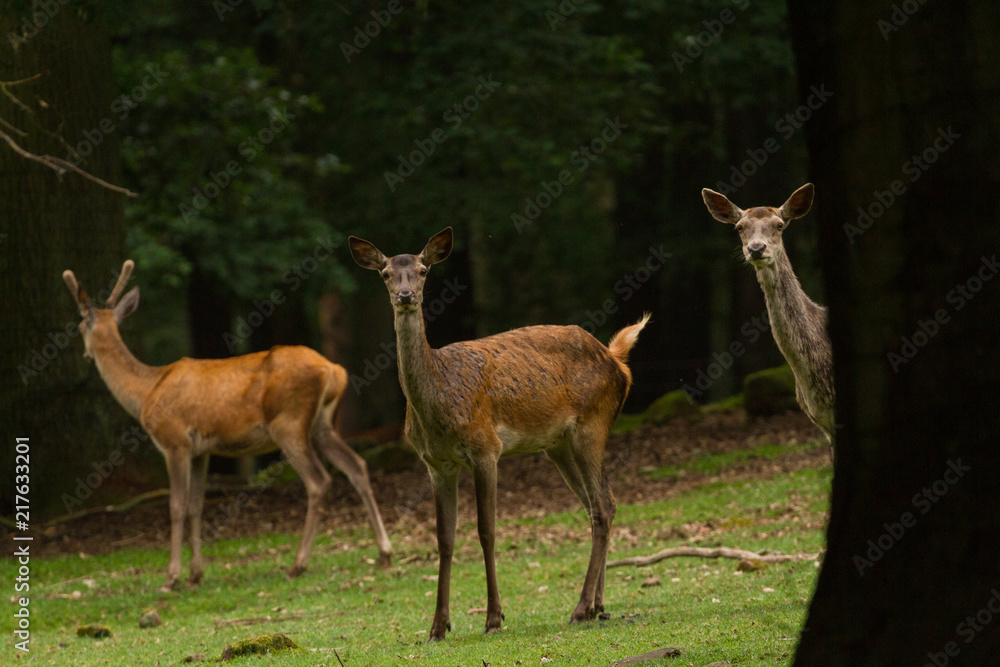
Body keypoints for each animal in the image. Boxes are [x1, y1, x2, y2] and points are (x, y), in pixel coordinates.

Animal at [62, 260, 392, 592]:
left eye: (78, 327)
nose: (85, 355)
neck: (146, 392)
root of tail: (335, 370)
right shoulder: (202, 450)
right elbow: (196, 505)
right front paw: (196, 574)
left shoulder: (175, 441)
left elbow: (176, 506)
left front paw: (171, 578)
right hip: (322, 425)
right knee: (357, 465)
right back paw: (384, 553)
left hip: (288, 422)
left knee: (319, 480)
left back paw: (298, 565)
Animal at [349, 227, 649, 640]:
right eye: (386, 273)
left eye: (424, 270)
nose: (406, 295)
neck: (438, 401)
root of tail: (618, 361)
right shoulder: (436, 464)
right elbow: (444, 539)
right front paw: (438, 626)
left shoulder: (485, 448)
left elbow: (486, 531)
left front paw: (493, 617)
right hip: (558, 444)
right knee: (601, 503)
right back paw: (597, 605)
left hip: (592, 424)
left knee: (601, 508)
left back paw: (579, 608)